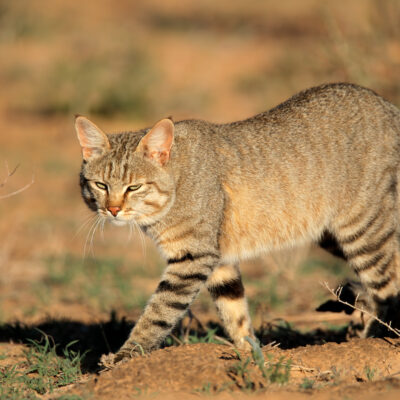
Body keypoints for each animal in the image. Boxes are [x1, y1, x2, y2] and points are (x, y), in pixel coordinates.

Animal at [74, 83, 400, 368]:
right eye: (101, 185)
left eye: (134, 187)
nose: (113, 209)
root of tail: (387, 105)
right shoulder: (220, 260)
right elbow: (234, 311)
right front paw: (250, 353)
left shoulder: (193, 257)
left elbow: (159, 312)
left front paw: (126, 355)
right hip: (333, 235)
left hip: (364, 229)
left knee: (387, 283)